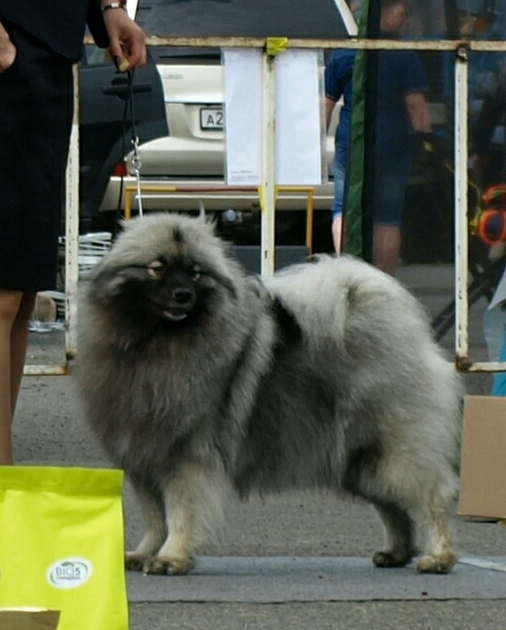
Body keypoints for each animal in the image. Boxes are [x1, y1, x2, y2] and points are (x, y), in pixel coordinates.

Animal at [76, 212, 462, 576]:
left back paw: (438, 557)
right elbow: (154, 517)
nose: (183, 295)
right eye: (157, 268)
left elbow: (180, 513)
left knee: (430, 499)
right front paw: (144, 553)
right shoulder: (143, 458)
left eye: (196, 273)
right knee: (393, 506)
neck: (155, 345)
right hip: (361, 462)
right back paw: (397, 552)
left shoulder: (187, 457)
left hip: (392, 451)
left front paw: (171, 557)